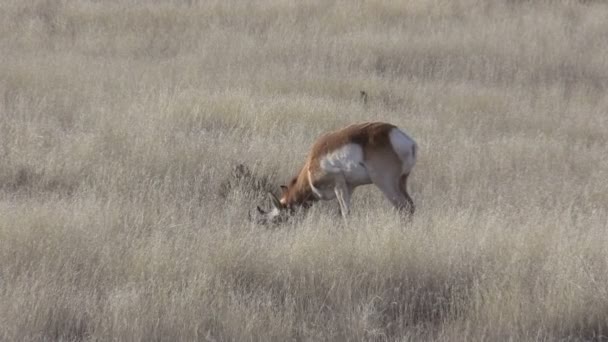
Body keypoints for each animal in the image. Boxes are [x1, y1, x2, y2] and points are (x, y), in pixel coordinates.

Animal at [253, 121, 418, 223]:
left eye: (276, 218)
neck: (311, 165)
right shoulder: (349, 188)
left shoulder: (339, 185)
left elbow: (345, 213)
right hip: (402, 181)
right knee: (411, 206)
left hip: (385, 183)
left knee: (403, 207)